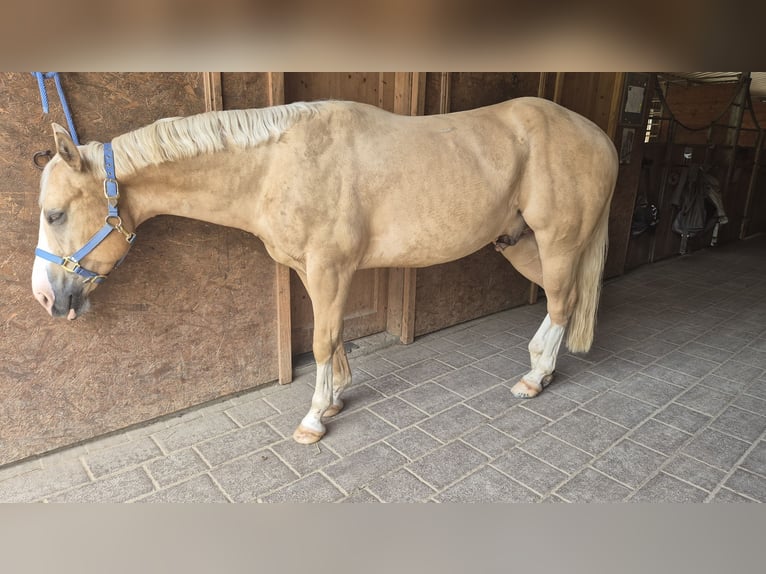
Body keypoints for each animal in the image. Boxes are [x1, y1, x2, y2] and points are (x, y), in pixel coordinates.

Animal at [33, 98, 620, 446]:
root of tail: (598, 135)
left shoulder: (330, 268)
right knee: (559, 301)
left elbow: (320, 340)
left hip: (558, 241)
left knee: (563, 303)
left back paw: (533, 379)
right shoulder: (313, 272)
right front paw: (336, 397)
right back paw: (539, 369)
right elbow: (331, 337)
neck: (277, 164)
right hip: (520, 244)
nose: (44, 298)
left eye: (54, 214)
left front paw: (313, 420)